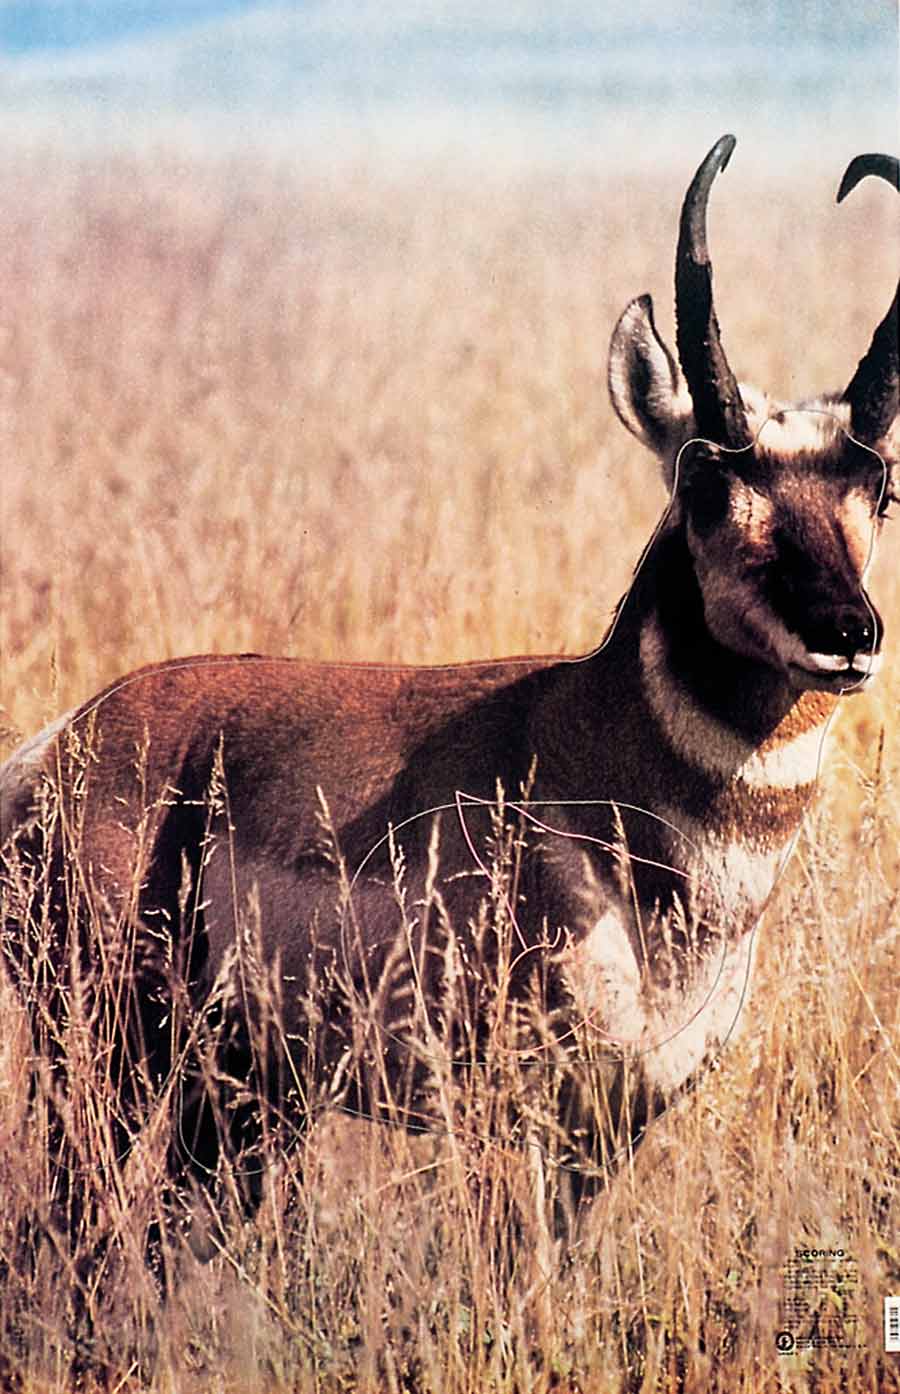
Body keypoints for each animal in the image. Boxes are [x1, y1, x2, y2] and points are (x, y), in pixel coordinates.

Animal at [1, 137, 897, 1233]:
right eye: (706, 479)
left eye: (879, 487)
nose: (848, 634)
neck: (593, 756)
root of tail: (60, 743)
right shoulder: (523, 1124)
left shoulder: (608, 1132)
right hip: (104, 1069)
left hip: (237, 1110)